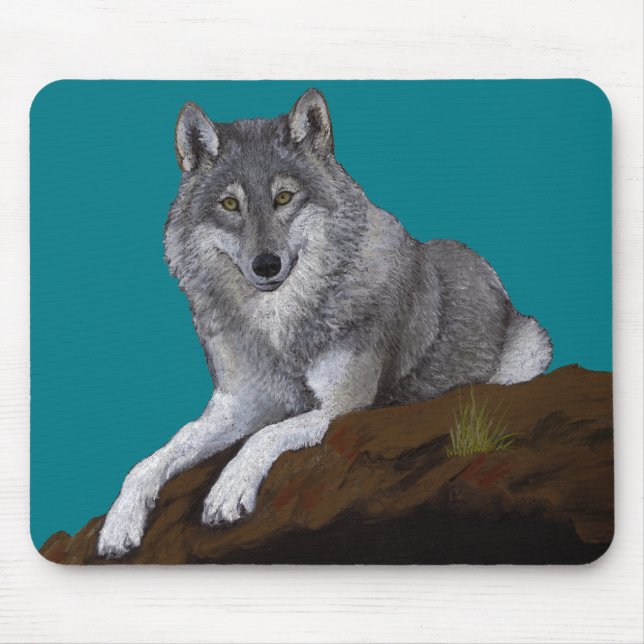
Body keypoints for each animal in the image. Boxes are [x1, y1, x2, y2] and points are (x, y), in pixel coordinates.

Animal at [97, 88, 552, 557]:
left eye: (283, 198)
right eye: (230, 205)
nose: (266, 265)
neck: (280, 329)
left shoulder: (343, 407)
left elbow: (266, 436)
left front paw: (227, 492)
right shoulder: (238, 405)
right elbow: (154, 458)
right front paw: (119, 523)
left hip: (530, 351)